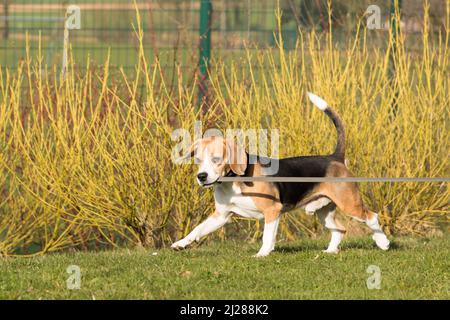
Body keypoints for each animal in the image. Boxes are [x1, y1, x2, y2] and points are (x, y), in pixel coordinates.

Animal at [172, 93, 390, 258]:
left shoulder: (272, 210)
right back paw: (330, 251)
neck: (232, 182)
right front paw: (181, 243)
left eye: (216, 159)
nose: (201, 176)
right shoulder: (221, 216)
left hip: (349, 204)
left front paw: (262, 253)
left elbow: (267, 236)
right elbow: (197, 229)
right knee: (340, 229)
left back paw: (383, 242)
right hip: (322, 211)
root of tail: (334, 157)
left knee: (372, 217)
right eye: (198, 160)